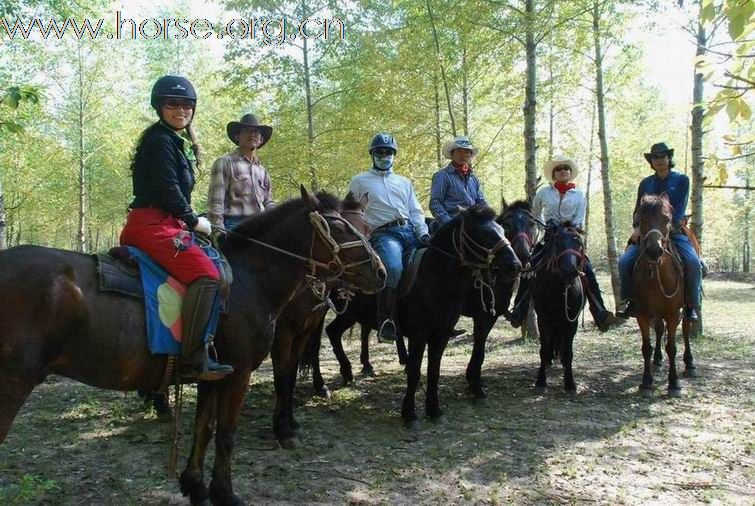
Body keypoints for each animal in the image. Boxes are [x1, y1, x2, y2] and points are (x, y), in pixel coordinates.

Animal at [0, 188, 386, 504]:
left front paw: (196, 486)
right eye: (338, 229)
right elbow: (227, 432)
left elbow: (204, 428)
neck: (248, 279)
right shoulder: (239, 373)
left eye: (367, 230)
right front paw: (225, 493)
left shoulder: (211, 376)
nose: (380, 272)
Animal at [528, 221, 588, 396]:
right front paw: (541, 381)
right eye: (558, 242)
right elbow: (543, 349)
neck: (559, 288)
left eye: (579, 243)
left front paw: (570, 384)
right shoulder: (543, 319)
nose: (570, 270)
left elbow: (568, 352)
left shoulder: (572, 322)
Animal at [628, 196, 692, 398]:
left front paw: (674, 384)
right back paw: (657, 360)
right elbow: (646, 348)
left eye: (667, 219)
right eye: (641, 219)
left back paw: (690, 363)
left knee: (686, 329)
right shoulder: (642, 313)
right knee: (658, 329)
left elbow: (672, 348)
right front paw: (646, 382)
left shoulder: (673, 314)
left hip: (687, 308)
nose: (654, 251)